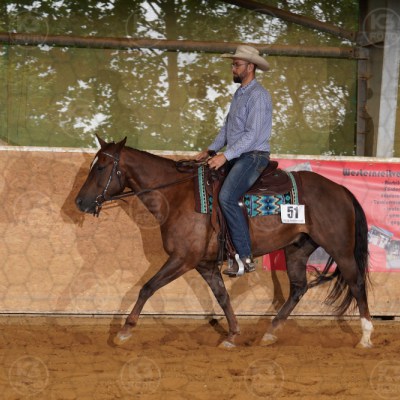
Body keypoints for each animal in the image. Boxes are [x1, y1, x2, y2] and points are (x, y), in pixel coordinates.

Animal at [75, 135, 373, 348]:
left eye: (100, 167)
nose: (79, 202)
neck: (175, 195)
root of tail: (341, 189)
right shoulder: (204, 265)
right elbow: (222, 297)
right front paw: (232, 334)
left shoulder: (183, 259)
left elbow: (147, 288)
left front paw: (125, 330)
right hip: (297, 249)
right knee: (298, 289)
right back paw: (270, 332)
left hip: (340, 249)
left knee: (356, 283)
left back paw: (366, 336)